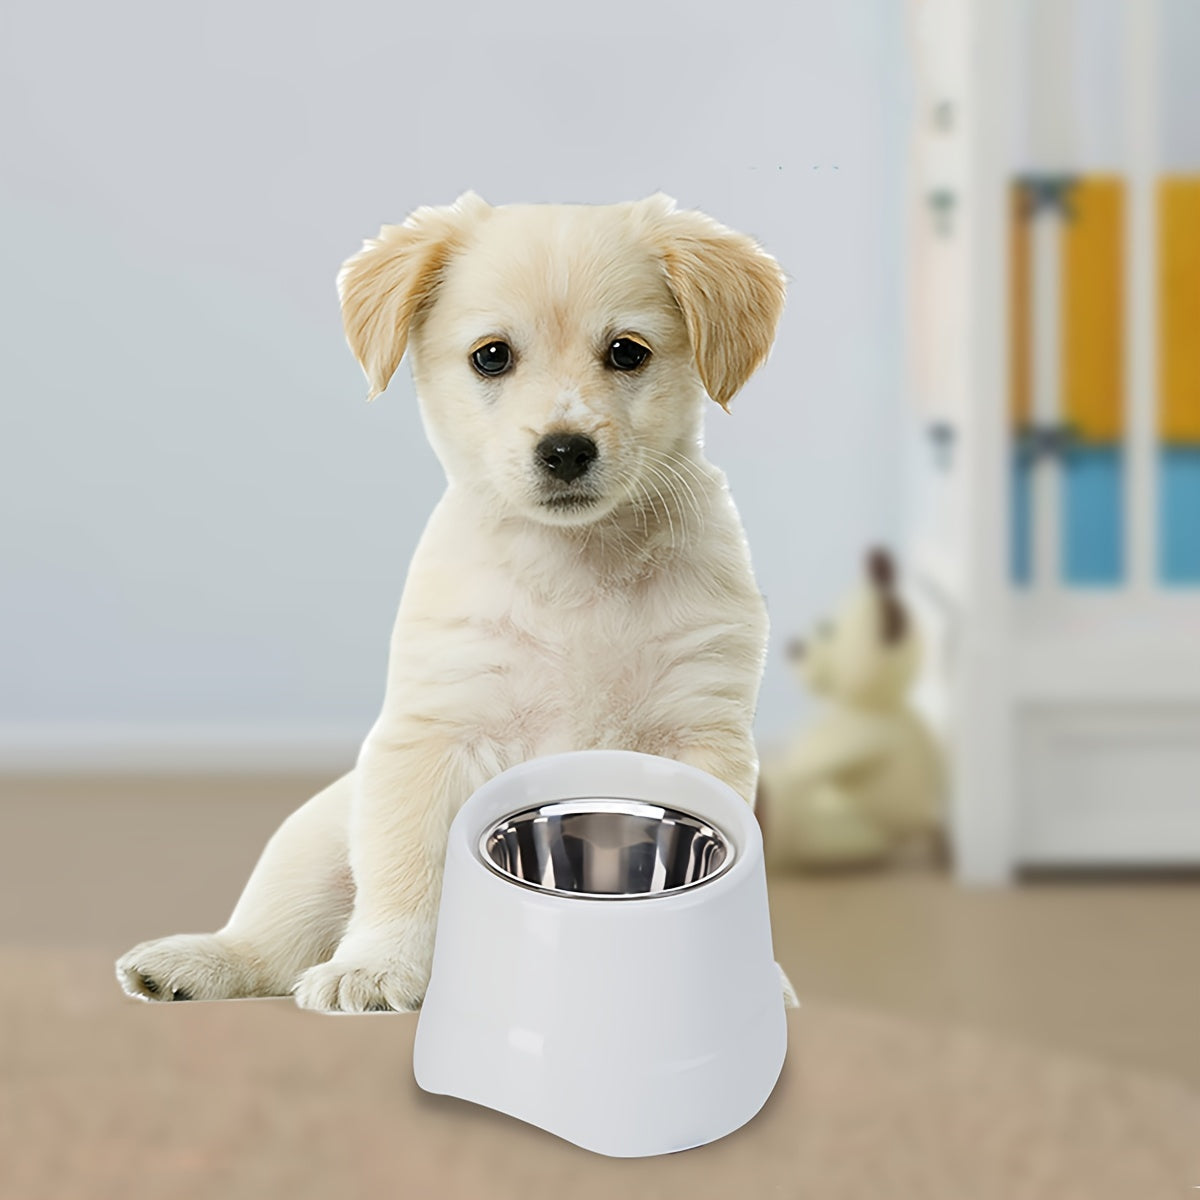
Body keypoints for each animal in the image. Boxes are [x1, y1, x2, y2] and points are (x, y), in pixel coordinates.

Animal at [117, 189, 792, 1012]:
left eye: (628, 352)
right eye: (492, 355)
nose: (564, 450)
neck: (574, 567)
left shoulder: (697, 729)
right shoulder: (436, 735)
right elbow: (407, 870)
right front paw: (380, 967)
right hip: (311, 844)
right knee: (273, 944)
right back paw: (196, 961)